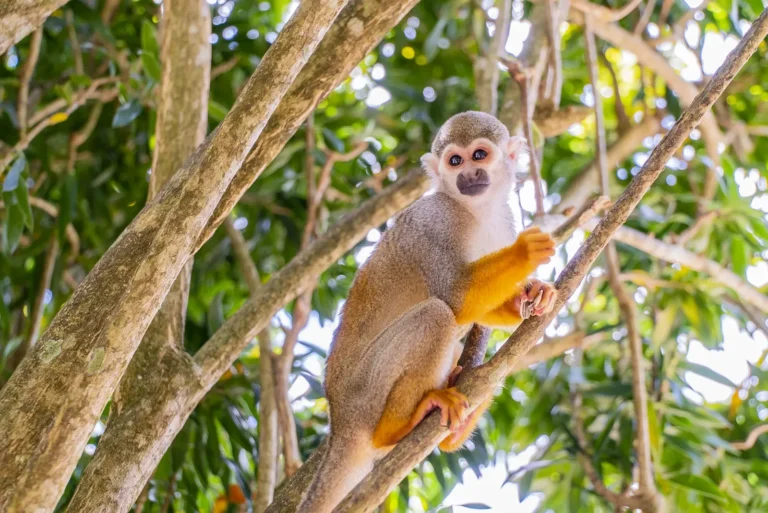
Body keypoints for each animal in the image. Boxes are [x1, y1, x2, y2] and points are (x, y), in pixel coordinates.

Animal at [295, 111, 557, 513]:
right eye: (455, 161)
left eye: (479, 155)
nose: (469, 175)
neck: (473, 210)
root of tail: (338, 423)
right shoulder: (435, 222)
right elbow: (455, 297)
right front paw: (525, 253)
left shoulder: (504, 219)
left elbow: (477, 310)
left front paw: (533, 294)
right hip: (365, 394)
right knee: (436, 315)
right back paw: (398, 427)